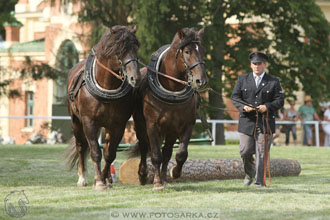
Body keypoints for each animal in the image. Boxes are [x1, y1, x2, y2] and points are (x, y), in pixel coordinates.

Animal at [64, 25, 141, 190]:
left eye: (136, 48)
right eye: (118, 50)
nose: (135, 77)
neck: (107, 86)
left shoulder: (118, 125)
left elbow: (109, 154)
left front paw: (105, 179)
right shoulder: (89, 122)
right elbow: (95, 152)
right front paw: (99, 181)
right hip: (76, 122)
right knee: (81, 146)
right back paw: (82, 178)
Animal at [131, 27, 206, 190]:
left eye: (202, 50)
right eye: (187, 51)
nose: (201, 80)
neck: (172, 90)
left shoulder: (185, 125)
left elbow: (180, 153)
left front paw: (174, 173)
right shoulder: (152, 125)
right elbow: (155, 155)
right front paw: (157, 183)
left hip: (170, 130)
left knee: (167, 151)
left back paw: (164, 177)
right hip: (140, 126)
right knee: (144, 146)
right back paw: (143, 174)